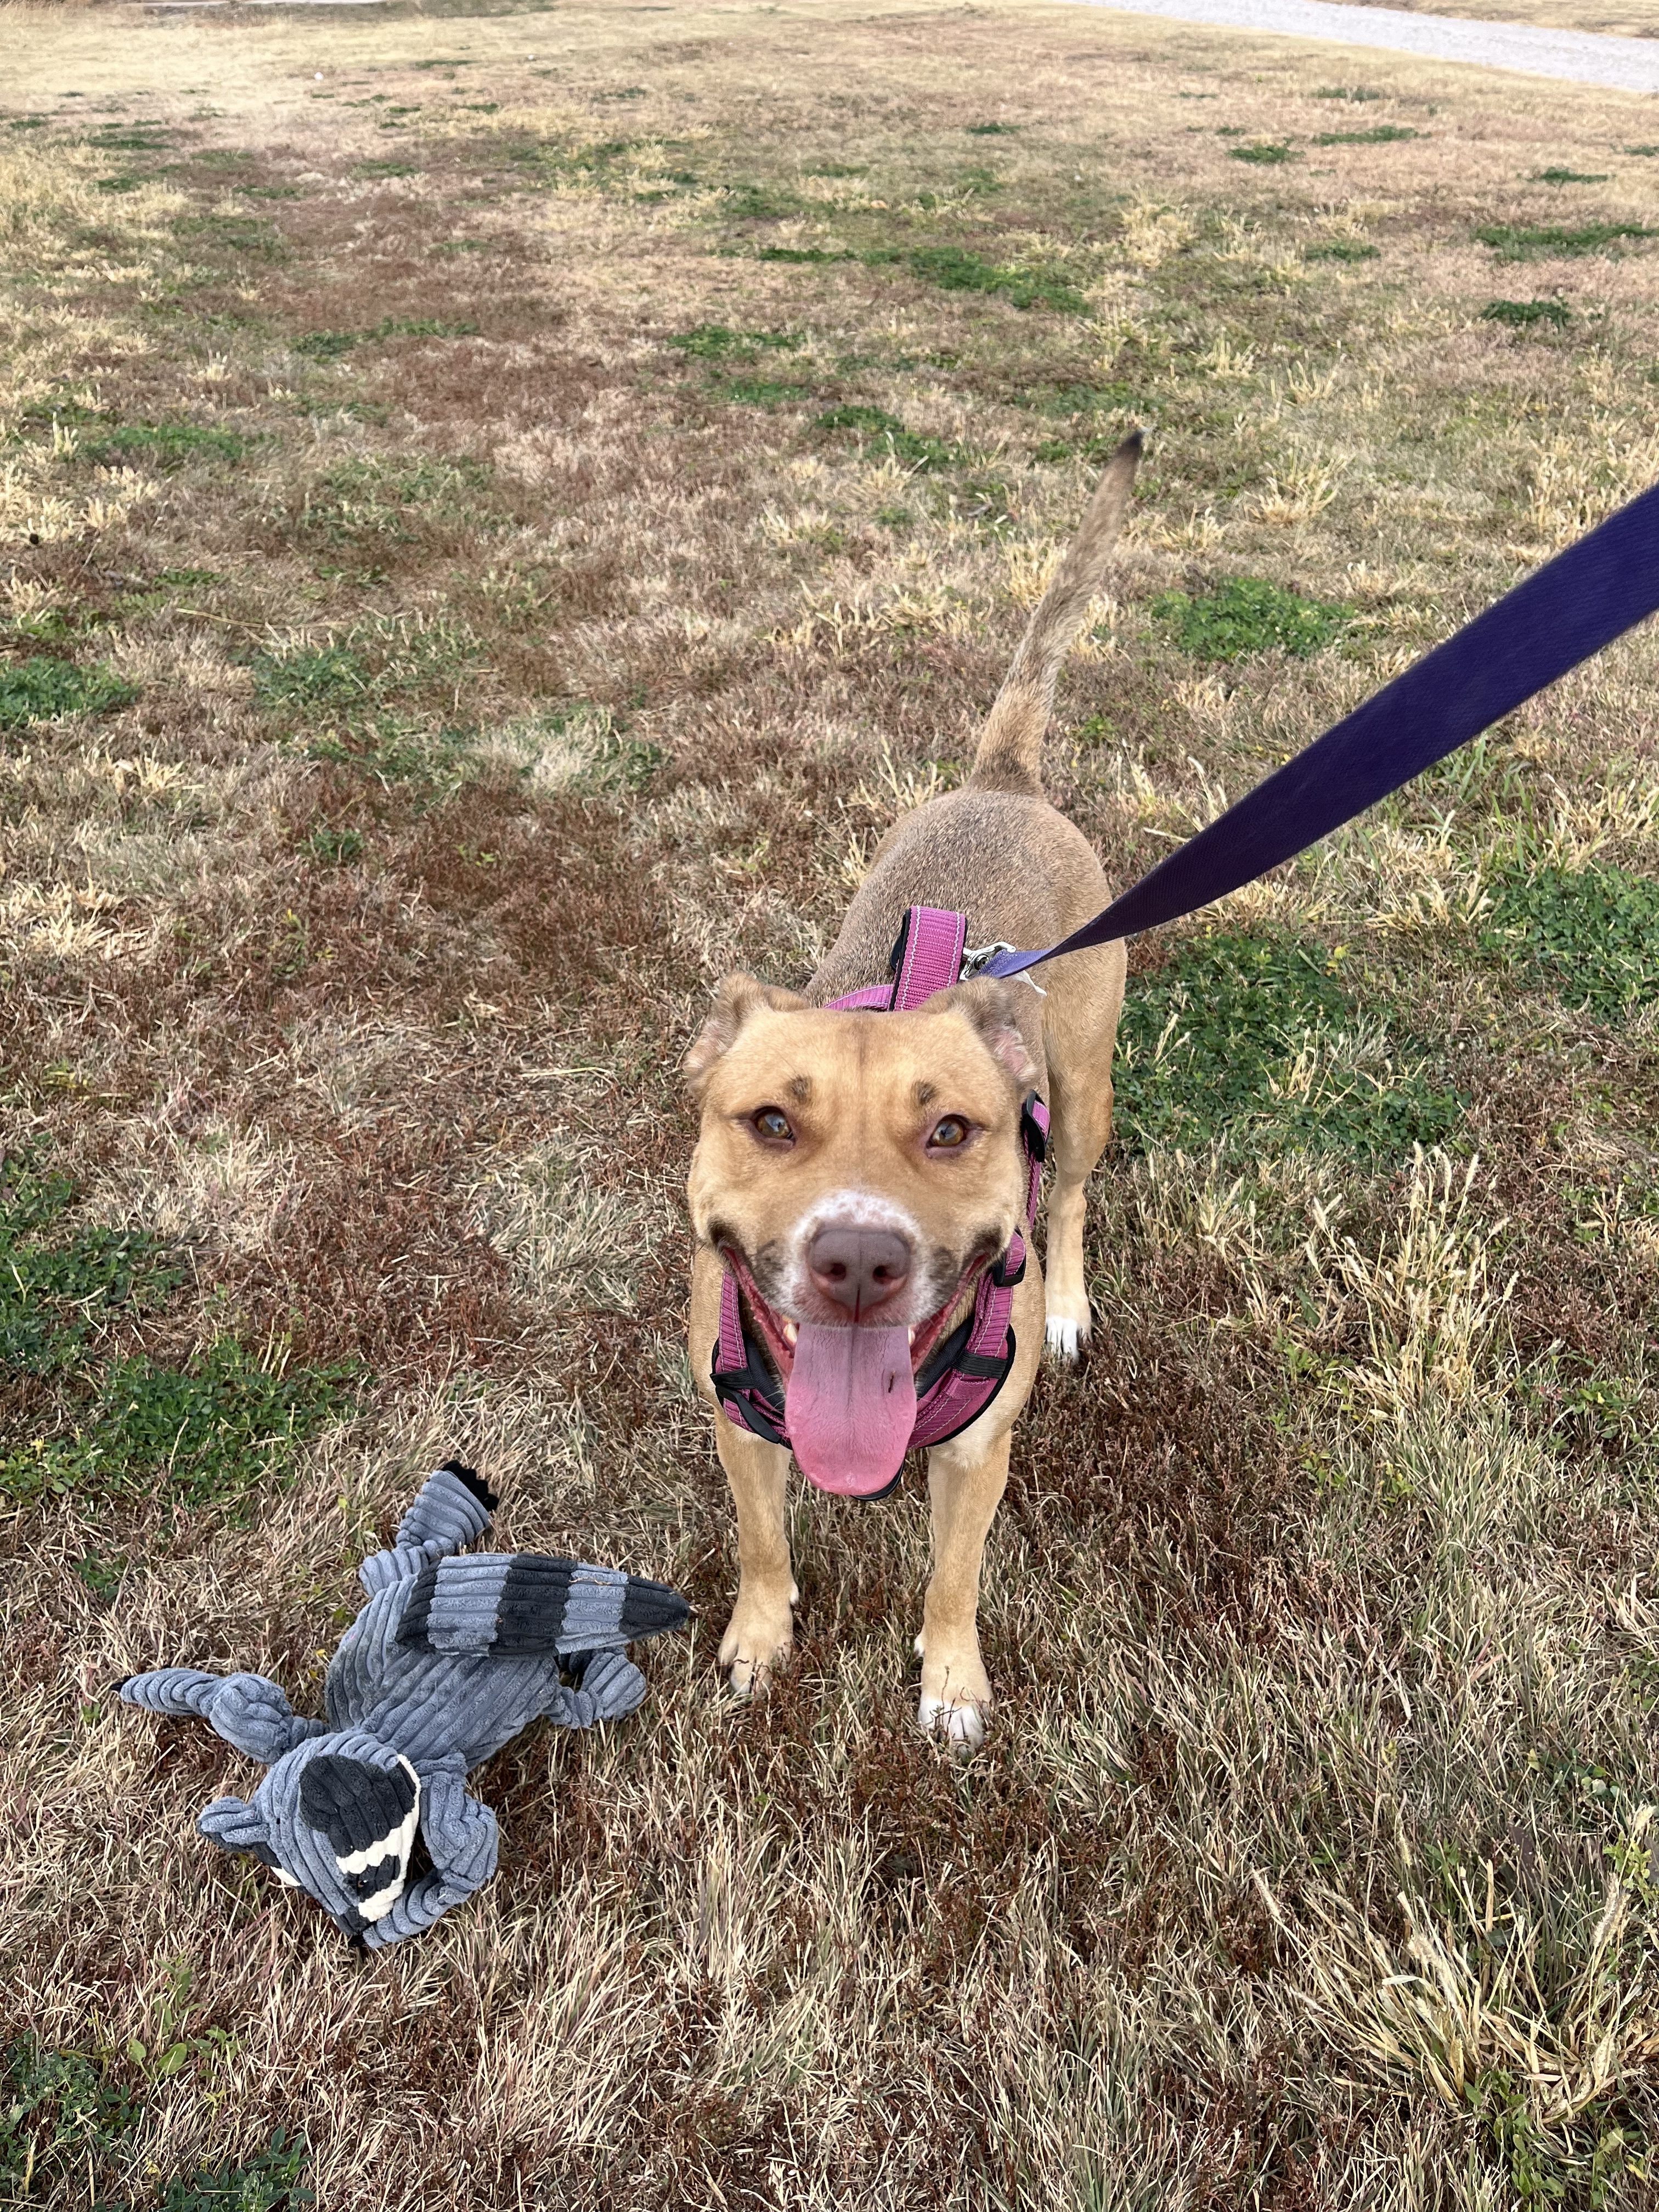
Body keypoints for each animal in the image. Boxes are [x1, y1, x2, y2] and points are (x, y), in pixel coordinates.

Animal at [685, 436, 1141, 1743]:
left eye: (951, 1129)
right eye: (769, 1121)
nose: (857, 1263)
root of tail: (1007, 780)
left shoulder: (976, 1457)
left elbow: (953, 1573)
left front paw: (949, 1682)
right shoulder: (740, 1427)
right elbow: (762, 1546)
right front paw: (759, 1641)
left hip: (1084, 1095)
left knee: (1074, 1193)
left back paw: (1067, 1300)